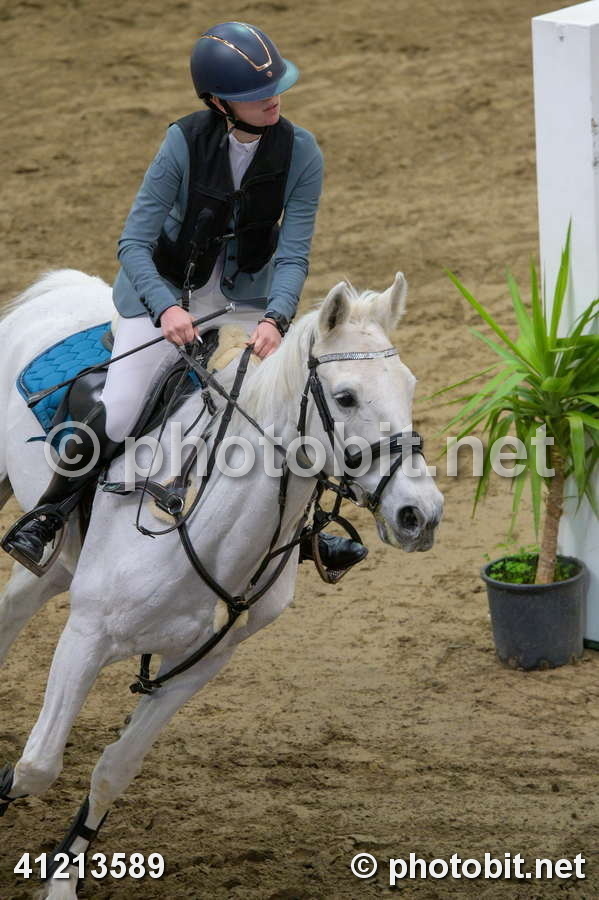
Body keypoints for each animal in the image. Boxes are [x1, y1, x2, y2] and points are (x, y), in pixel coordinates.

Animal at [0, 268, 443, 898]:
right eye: (346, 397)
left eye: (409, 385)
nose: (420, 514)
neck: (203, 521)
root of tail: (60, 289)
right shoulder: (86, 637)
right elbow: (37, 766)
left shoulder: (196, 665)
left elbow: (114, 769)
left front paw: (63, 880)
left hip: (57, 567)